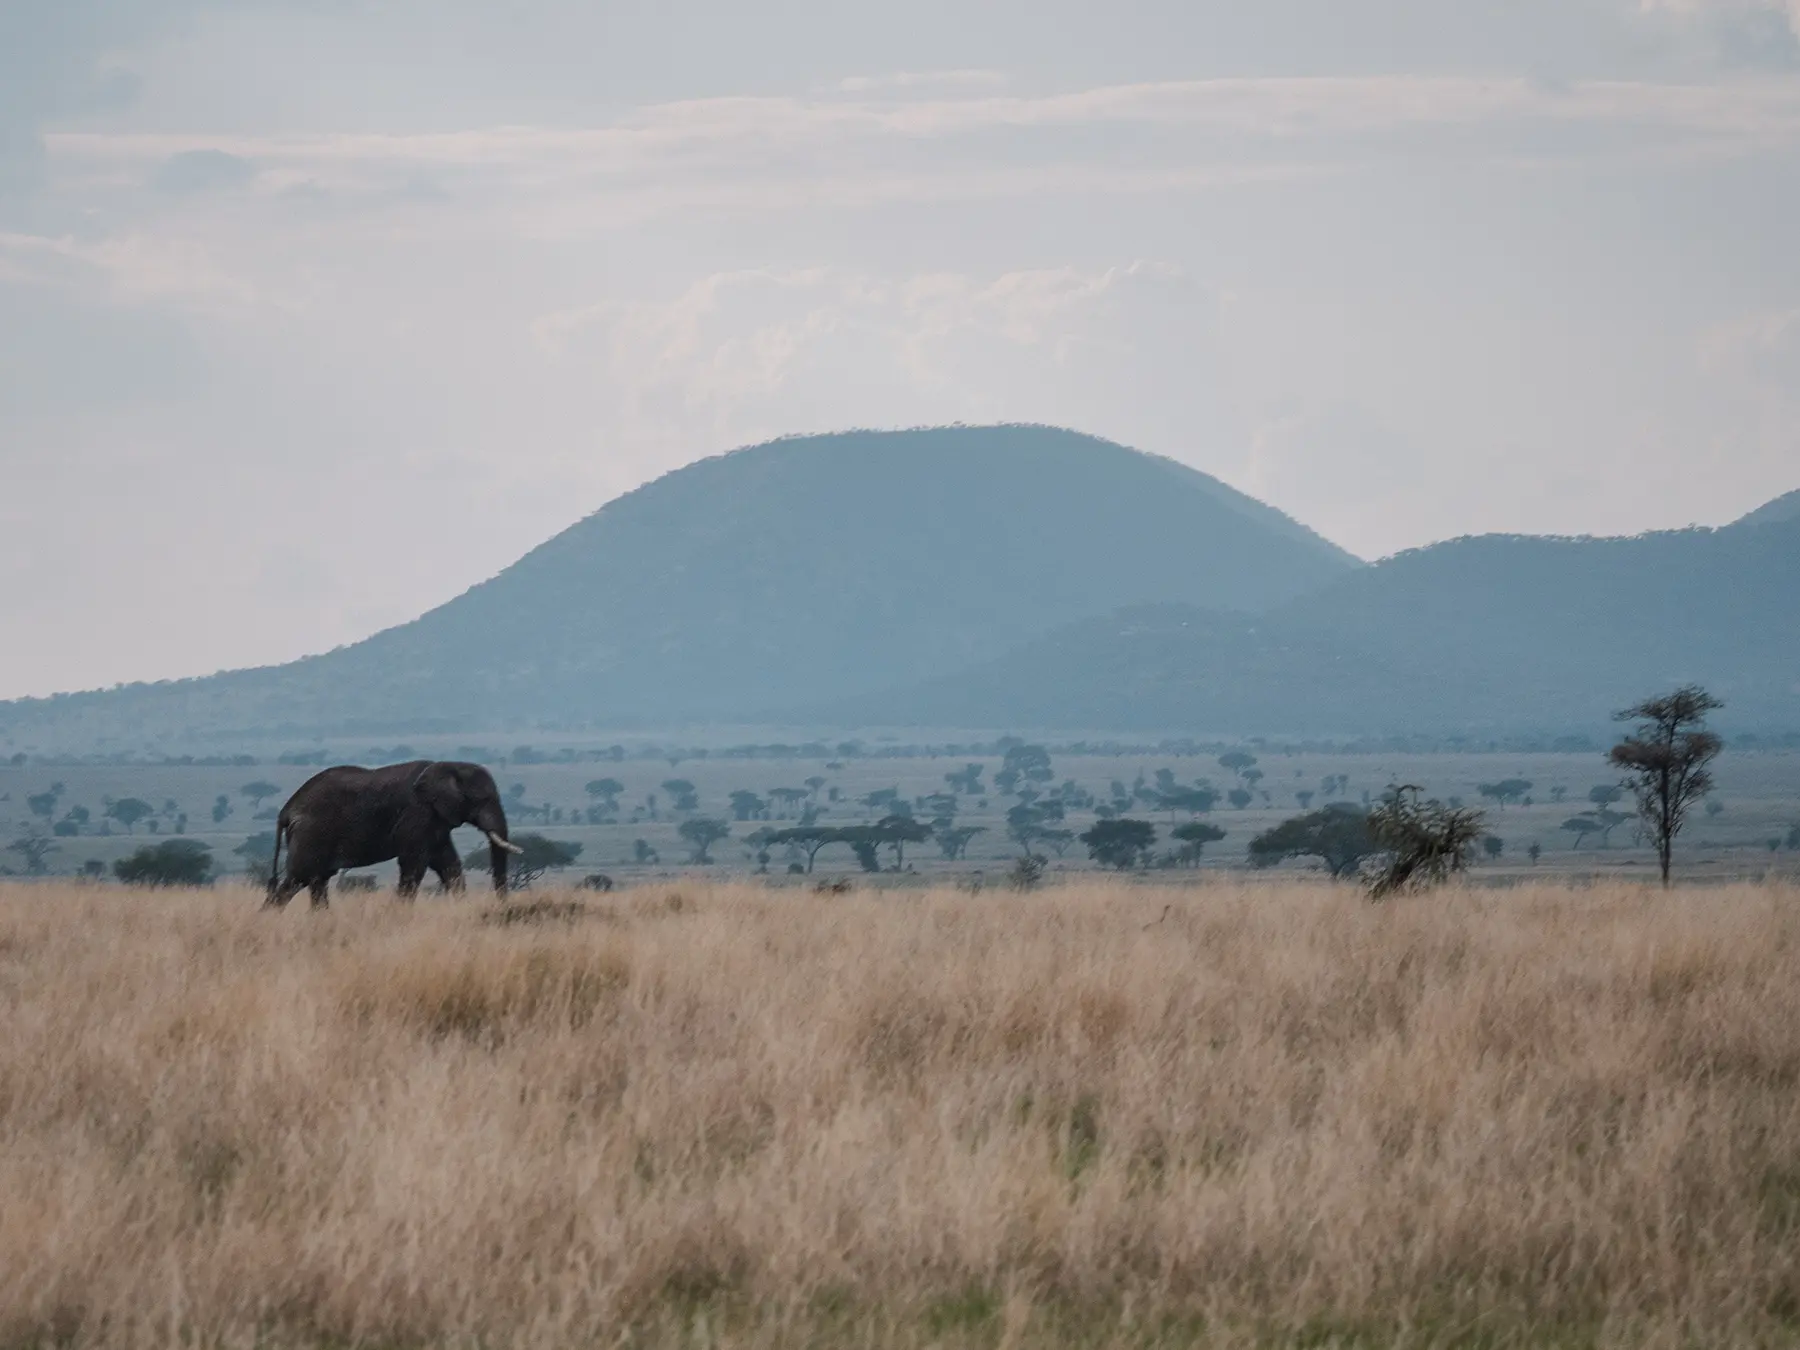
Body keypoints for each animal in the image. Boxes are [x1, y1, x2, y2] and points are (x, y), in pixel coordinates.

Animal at [265, 760, 522, 908]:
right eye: (483, 800)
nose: (501, 905)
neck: (447, 766)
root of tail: (287, 809)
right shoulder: (417, 812)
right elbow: (414, 863)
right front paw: (401, 913)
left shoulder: (436, 819)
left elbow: (448, 863)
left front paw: (460, 907)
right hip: (311, 834)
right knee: (299, 878)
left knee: (317, 880)